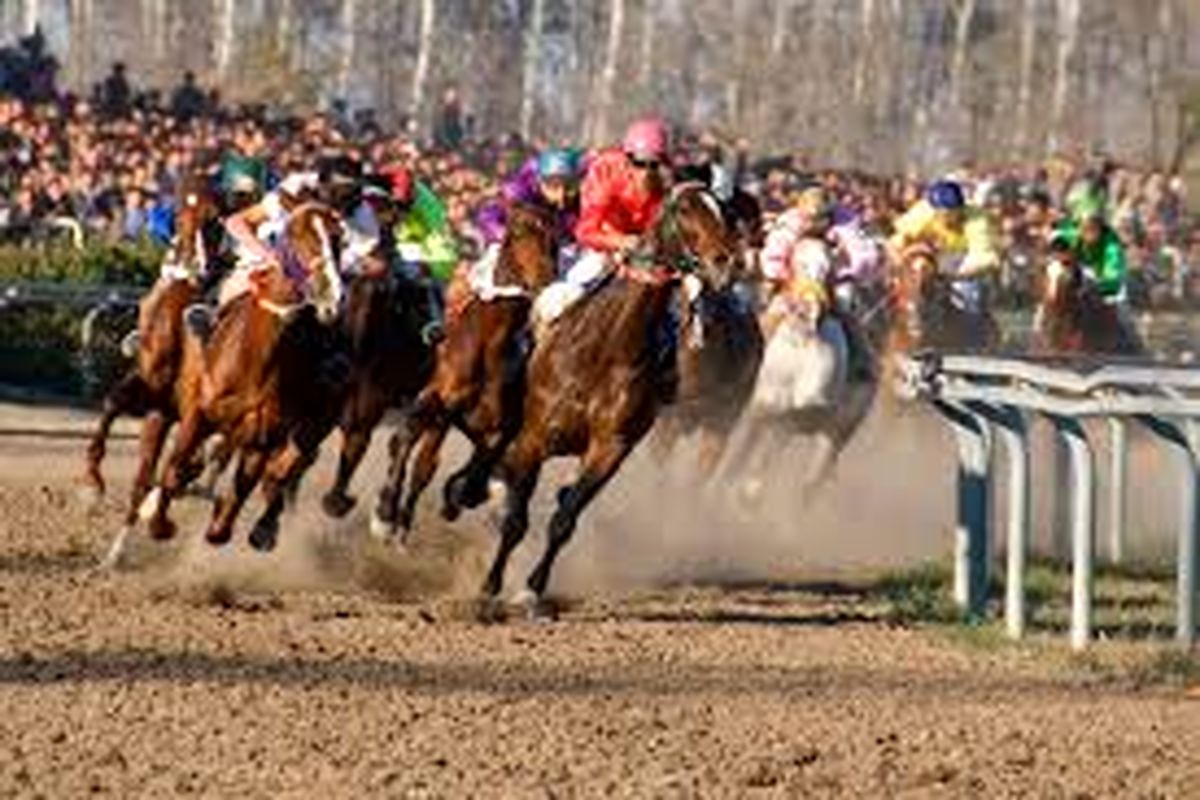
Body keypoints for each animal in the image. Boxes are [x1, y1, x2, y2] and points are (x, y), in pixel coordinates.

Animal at [139, 201, 350, 551]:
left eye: (338, 240)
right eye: (297, 238)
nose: (331, 296)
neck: (258, 356)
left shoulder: (264, 435)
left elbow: (237, 501)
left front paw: (233, 521)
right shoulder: (198, 413)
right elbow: (175, 469)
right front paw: (158, 520)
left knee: (287, 466)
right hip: (161, 391)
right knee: (156, 451)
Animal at [372, 200, 559, 542]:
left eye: (555, 236)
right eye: (517, 230)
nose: (545, 277)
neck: (487, 343)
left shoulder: (499, 427)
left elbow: (475, 473)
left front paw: (456, 497)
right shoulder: (438, 399)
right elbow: (408, 439)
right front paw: (385, 513)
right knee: (420, 454)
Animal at [477, 183, 739, 618]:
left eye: (723, 210)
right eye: (685, 210)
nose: (725, 262)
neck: (607, 346)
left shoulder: (610, 448)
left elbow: (565, 519)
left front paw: (532, 590)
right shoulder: (534, 438)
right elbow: (516, 520)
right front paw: (489, 587)